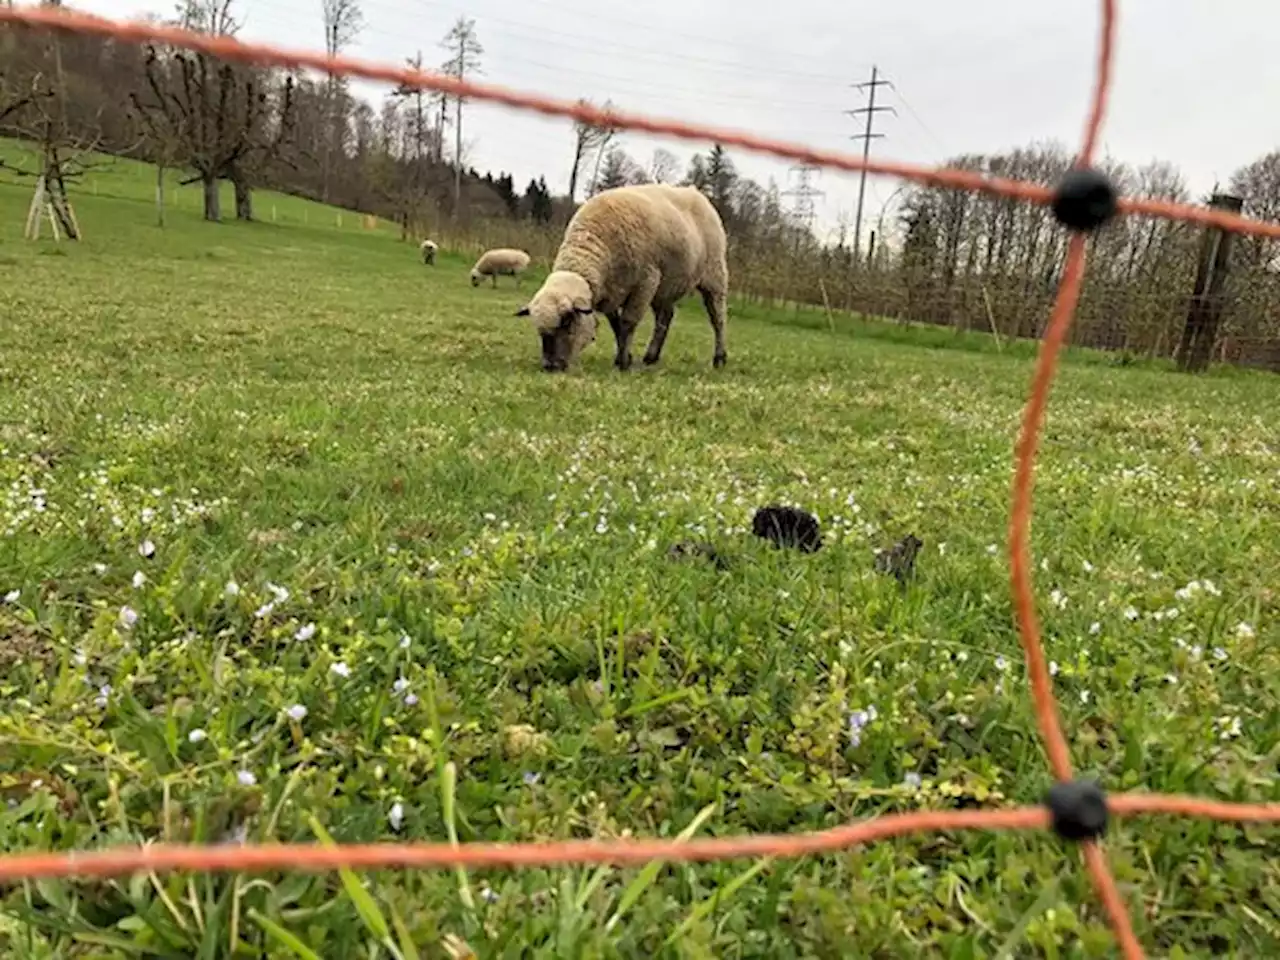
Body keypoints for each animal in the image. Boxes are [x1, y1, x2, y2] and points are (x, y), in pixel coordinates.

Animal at [512, 181, 732, 373]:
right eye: (539, 331)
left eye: (566, 322)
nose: (550, 367)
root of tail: (695, 191)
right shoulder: (610, 290)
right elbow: (616, 325)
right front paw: (625, 357)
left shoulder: (645, 282)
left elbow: (628, 322)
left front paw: (623, 362)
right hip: (665, 286)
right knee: (665, 318)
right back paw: (651, 357)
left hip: (714, 274)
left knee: (718, 318)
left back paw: (719, 358)